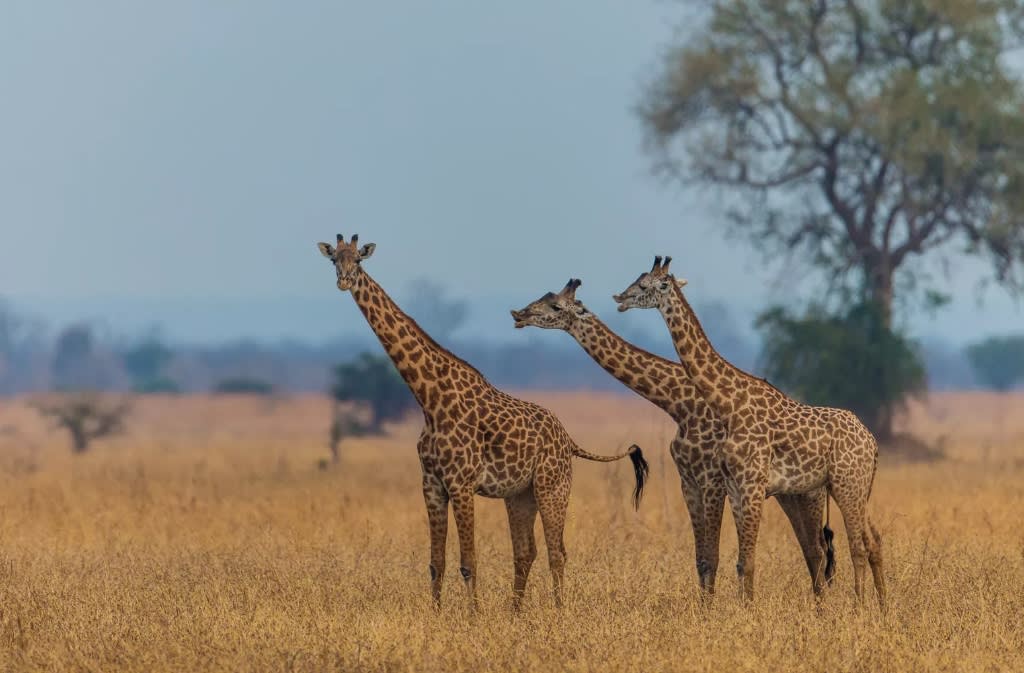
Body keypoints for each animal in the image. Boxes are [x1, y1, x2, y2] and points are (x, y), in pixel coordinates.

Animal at [315, 234, 647, 610]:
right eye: (334, 260)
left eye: (358, 260)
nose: (344, 281)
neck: (429, 399)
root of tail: (569, 439)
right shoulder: (431, 484)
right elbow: (436, 562)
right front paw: (436, 614)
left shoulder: (461, 484)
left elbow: (468, 562)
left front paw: (473, 615)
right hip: (520, 494)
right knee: (526, 551)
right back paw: (515, 613)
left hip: (553, 486)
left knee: (557, 552)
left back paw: (559, 611)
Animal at [507, 278, 835, 594]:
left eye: (555, 306)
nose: (518, 315)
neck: (679, 404)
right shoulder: (688, 480)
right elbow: (702, 559)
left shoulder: (712, 480)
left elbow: (713, 556)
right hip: (789, 494)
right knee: (812, 549)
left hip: (809, 494)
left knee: (817, 550)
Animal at [610, 256, 884, 602]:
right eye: (637, 279)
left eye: (645, 285)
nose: (619, 298)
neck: (730, 403)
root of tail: (872, 441)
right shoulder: (735, 487)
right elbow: (740, 562)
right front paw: (741, 609)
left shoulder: (750, 485)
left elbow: (747, 562)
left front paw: (746, 611)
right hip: (857, 488)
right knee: (869, 541)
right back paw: (882, 606)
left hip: (846, 485)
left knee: (855, 547)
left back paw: (860, 607)